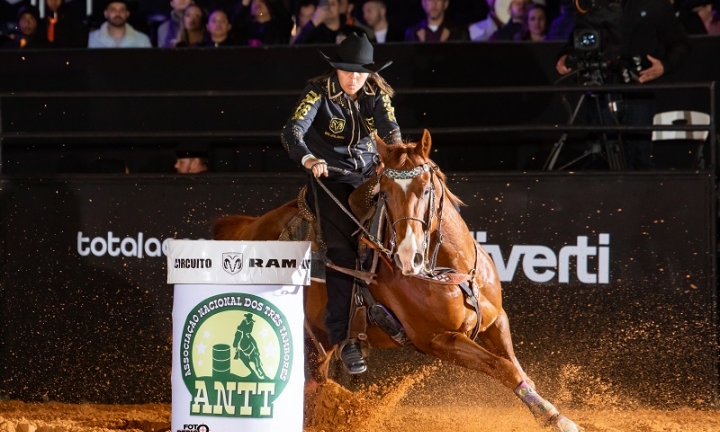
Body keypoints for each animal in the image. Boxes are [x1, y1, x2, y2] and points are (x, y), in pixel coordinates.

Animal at [212, 131, 580, 432]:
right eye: (384, 193)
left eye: (426, 188)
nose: (407, 256)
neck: (447, 269)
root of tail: (245, 229)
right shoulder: (438, 340)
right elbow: (502, 366)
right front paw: (557, 419)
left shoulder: (495, 321)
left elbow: (515, 366)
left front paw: (553, 415)